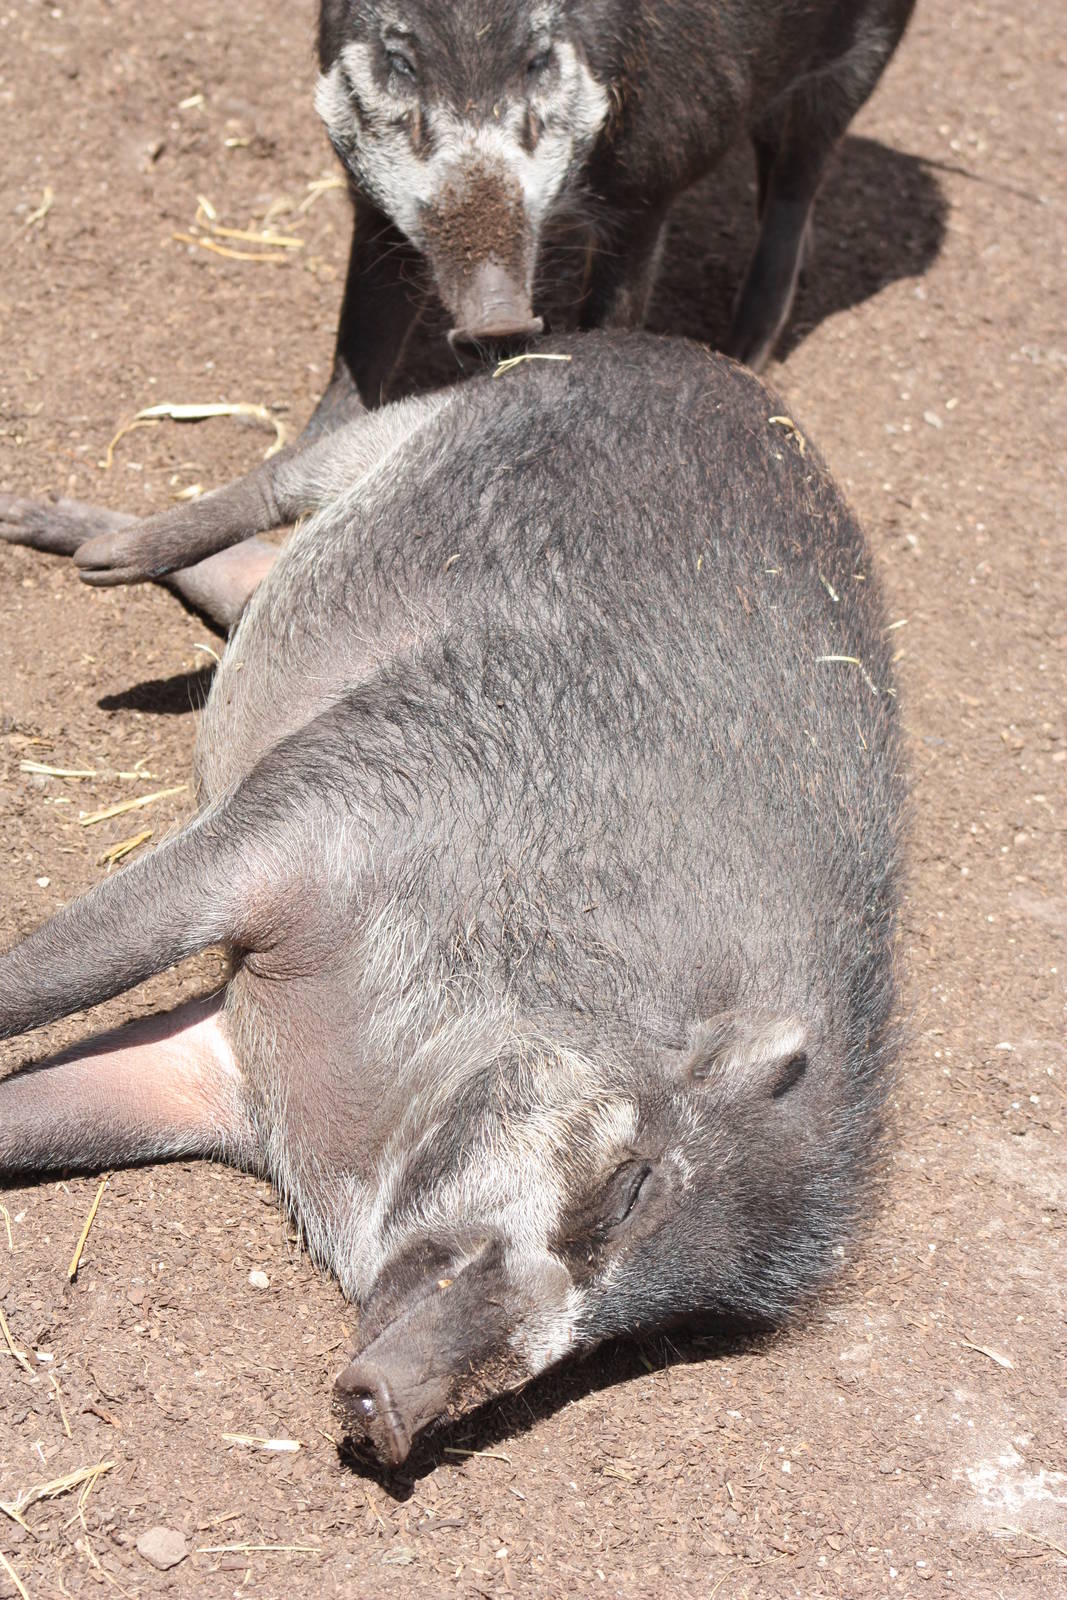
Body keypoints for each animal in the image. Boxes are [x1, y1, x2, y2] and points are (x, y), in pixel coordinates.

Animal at [0, 334, 906, 1467]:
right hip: (437, 413)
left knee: (250, 580)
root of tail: (725, 373)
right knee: (279, 484)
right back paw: (83, 548)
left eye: (640, 1336)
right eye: (631, 1186)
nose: (395, 1405)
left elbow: (37, 1119)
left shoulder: (216, 1068)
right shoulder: (296, 828)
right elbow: (44, 976)